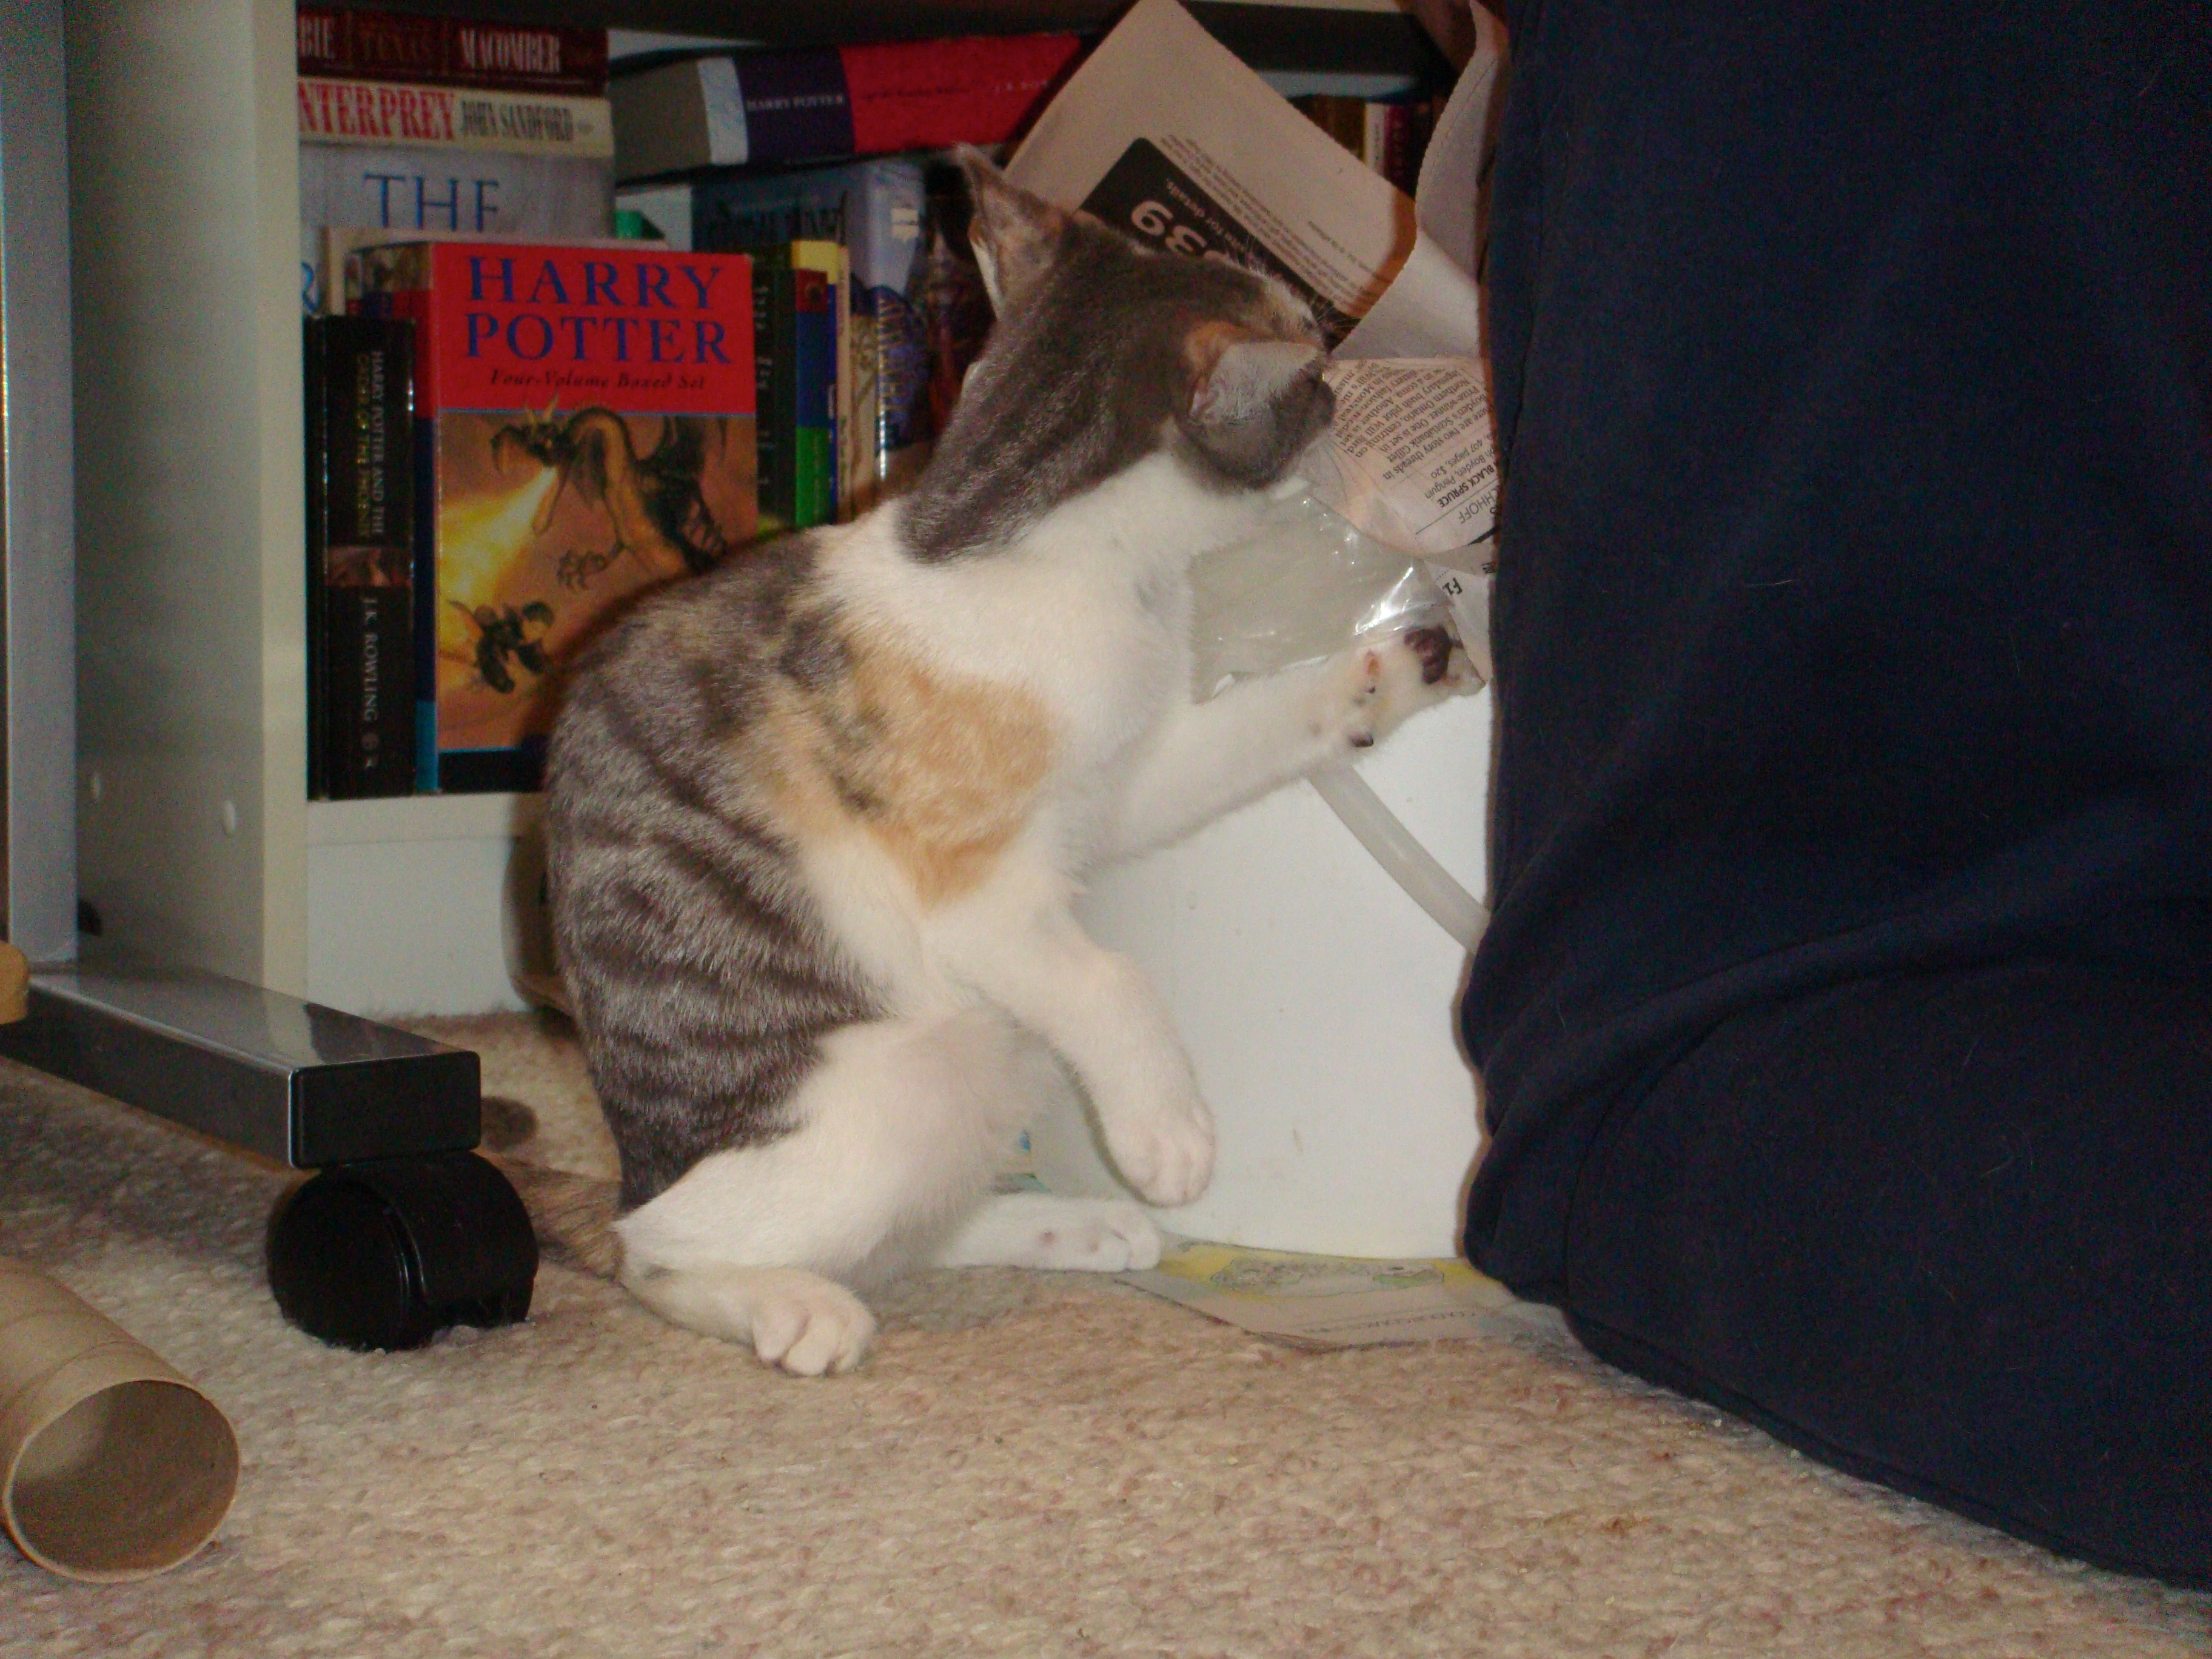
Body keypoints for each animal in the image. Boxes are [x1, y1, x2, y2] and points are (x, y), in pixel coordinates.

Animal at [537, 152, 1465, 1375]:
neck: (1023, 538)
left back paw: (1074, 1224)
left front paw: (1387, 676)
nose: (1349, 385)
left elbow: (1258, 724)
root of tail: (639, 1168)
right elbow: (1111, 978)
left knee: (911, 1235)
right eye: (1310, 361)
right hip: (904, 1077)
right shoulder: (980, 902)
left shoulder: (1134, 775)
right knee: (658, 1258)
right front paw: (1169, 1132)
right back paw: (792, 1306)